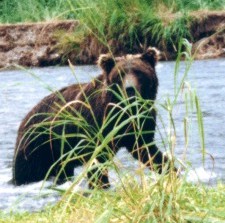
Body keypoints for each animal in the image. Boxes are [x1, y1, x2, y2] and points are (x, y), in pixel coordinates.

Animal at [12, 47, 174, 188]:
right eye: (120, 75)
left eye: (139, 72)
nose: (130, 89)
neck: (122, 111)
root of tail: (25, 119)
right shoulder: (96, 124)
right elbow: (97, 159)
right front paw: (101, 184)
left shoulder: (139, 122)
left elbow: (147, 150)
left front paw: (171, 170)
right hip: (38, 144)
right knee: (29, 170)